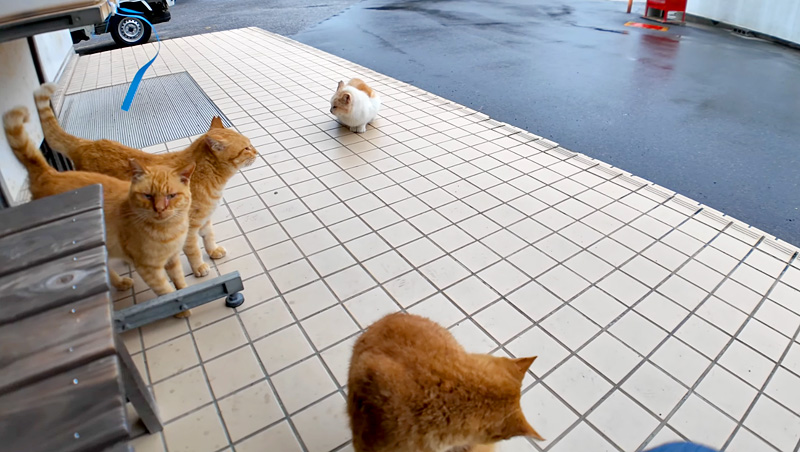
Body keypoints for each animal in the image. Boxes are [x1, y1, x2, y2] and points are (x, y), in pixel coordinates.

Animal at [5, 106, 197, 318]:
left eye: (171, 196)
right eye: (147, 196)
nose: (160, 209)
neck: (169, 230)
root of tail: (49, 173)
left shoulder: (173, 258)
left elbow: (179, 280)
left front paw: (185, 293)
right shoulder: (149, 268)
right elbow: (166, 290)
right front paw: (180, 308)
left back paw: (120, 283)